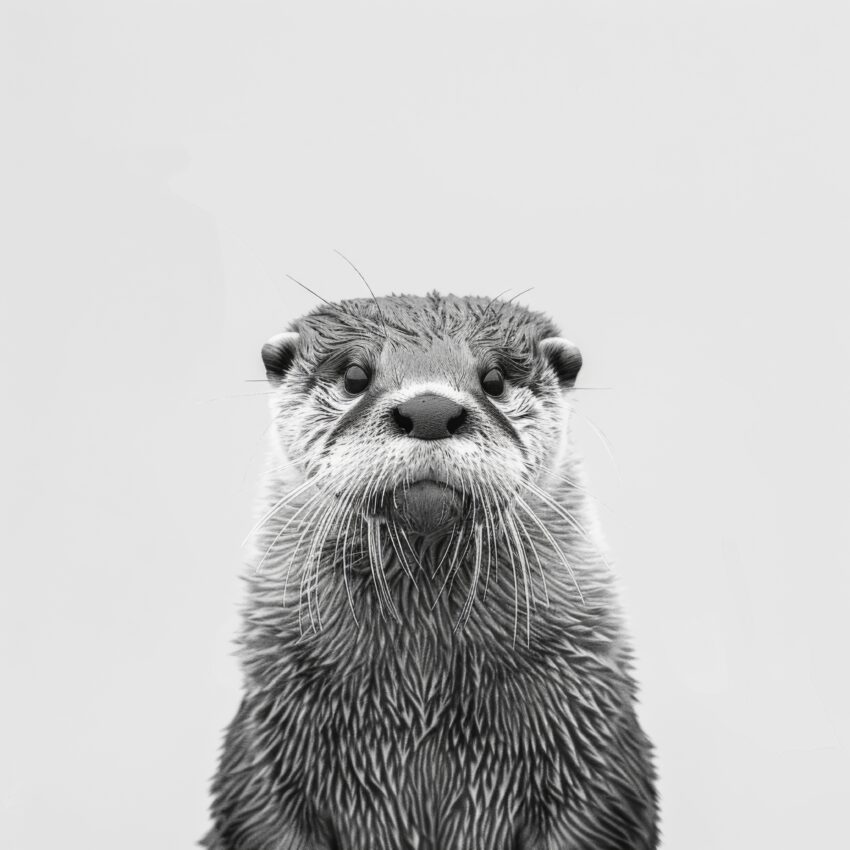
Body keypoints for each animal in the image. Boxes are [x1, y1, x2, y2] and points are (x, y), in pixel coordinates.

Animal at [204, 292, 658, 850]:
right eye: (355, 374)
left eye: (494, 379)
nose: (430, 410)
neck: (423, 692)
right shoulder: (266, 747)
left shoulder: (594, 743)